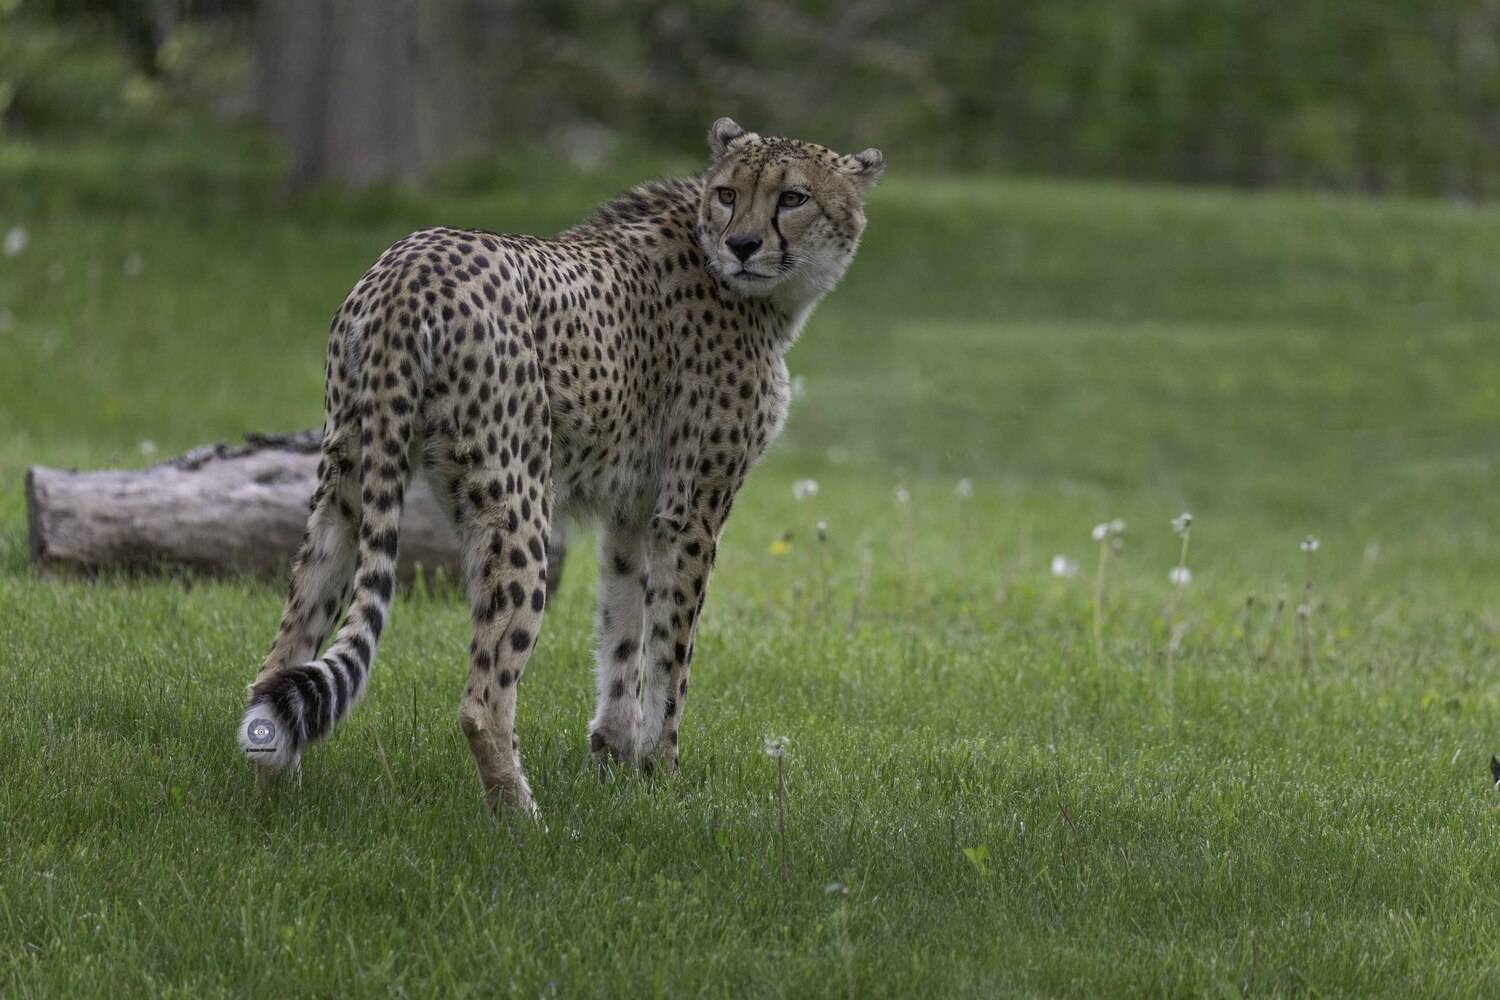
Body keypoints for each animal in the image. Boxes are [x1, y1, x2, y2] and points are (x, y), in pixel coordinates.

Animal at [236, 118, 884, 817]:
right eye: (730, 194)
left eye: (793, 197)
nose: (742, 244)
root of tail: (409, 263)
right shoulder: (691, 513)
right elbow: (671, 655)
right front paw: (666, 777)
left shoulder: (634, 510)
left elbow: (624, 631)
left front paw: (617, 761)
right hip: (519, 504)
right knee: (482, 700)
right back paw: (524, 819)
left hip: (347, 484)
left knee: (276, 662)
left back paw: (275, 798)